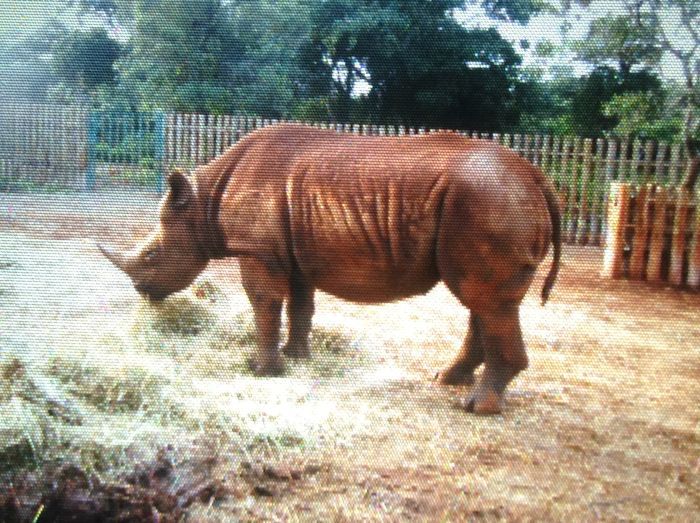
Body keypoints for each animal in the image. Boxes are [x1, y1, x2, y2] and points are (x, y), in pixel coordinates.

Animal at [98, 123, 561, 415]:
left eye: (153, 255)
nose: (141, 291)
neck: (202, 203)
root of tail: (536, 176)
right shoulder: (294, 252)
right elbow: (300, 305)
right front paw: (296, 357)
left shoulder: (257, 250)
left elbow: (264, 302)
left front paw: (262, 370)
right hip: (492, 199)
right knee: (482, 301)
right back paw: (447, 380)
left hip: (488, 200)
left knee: (486, 300)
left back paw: (475, 408)